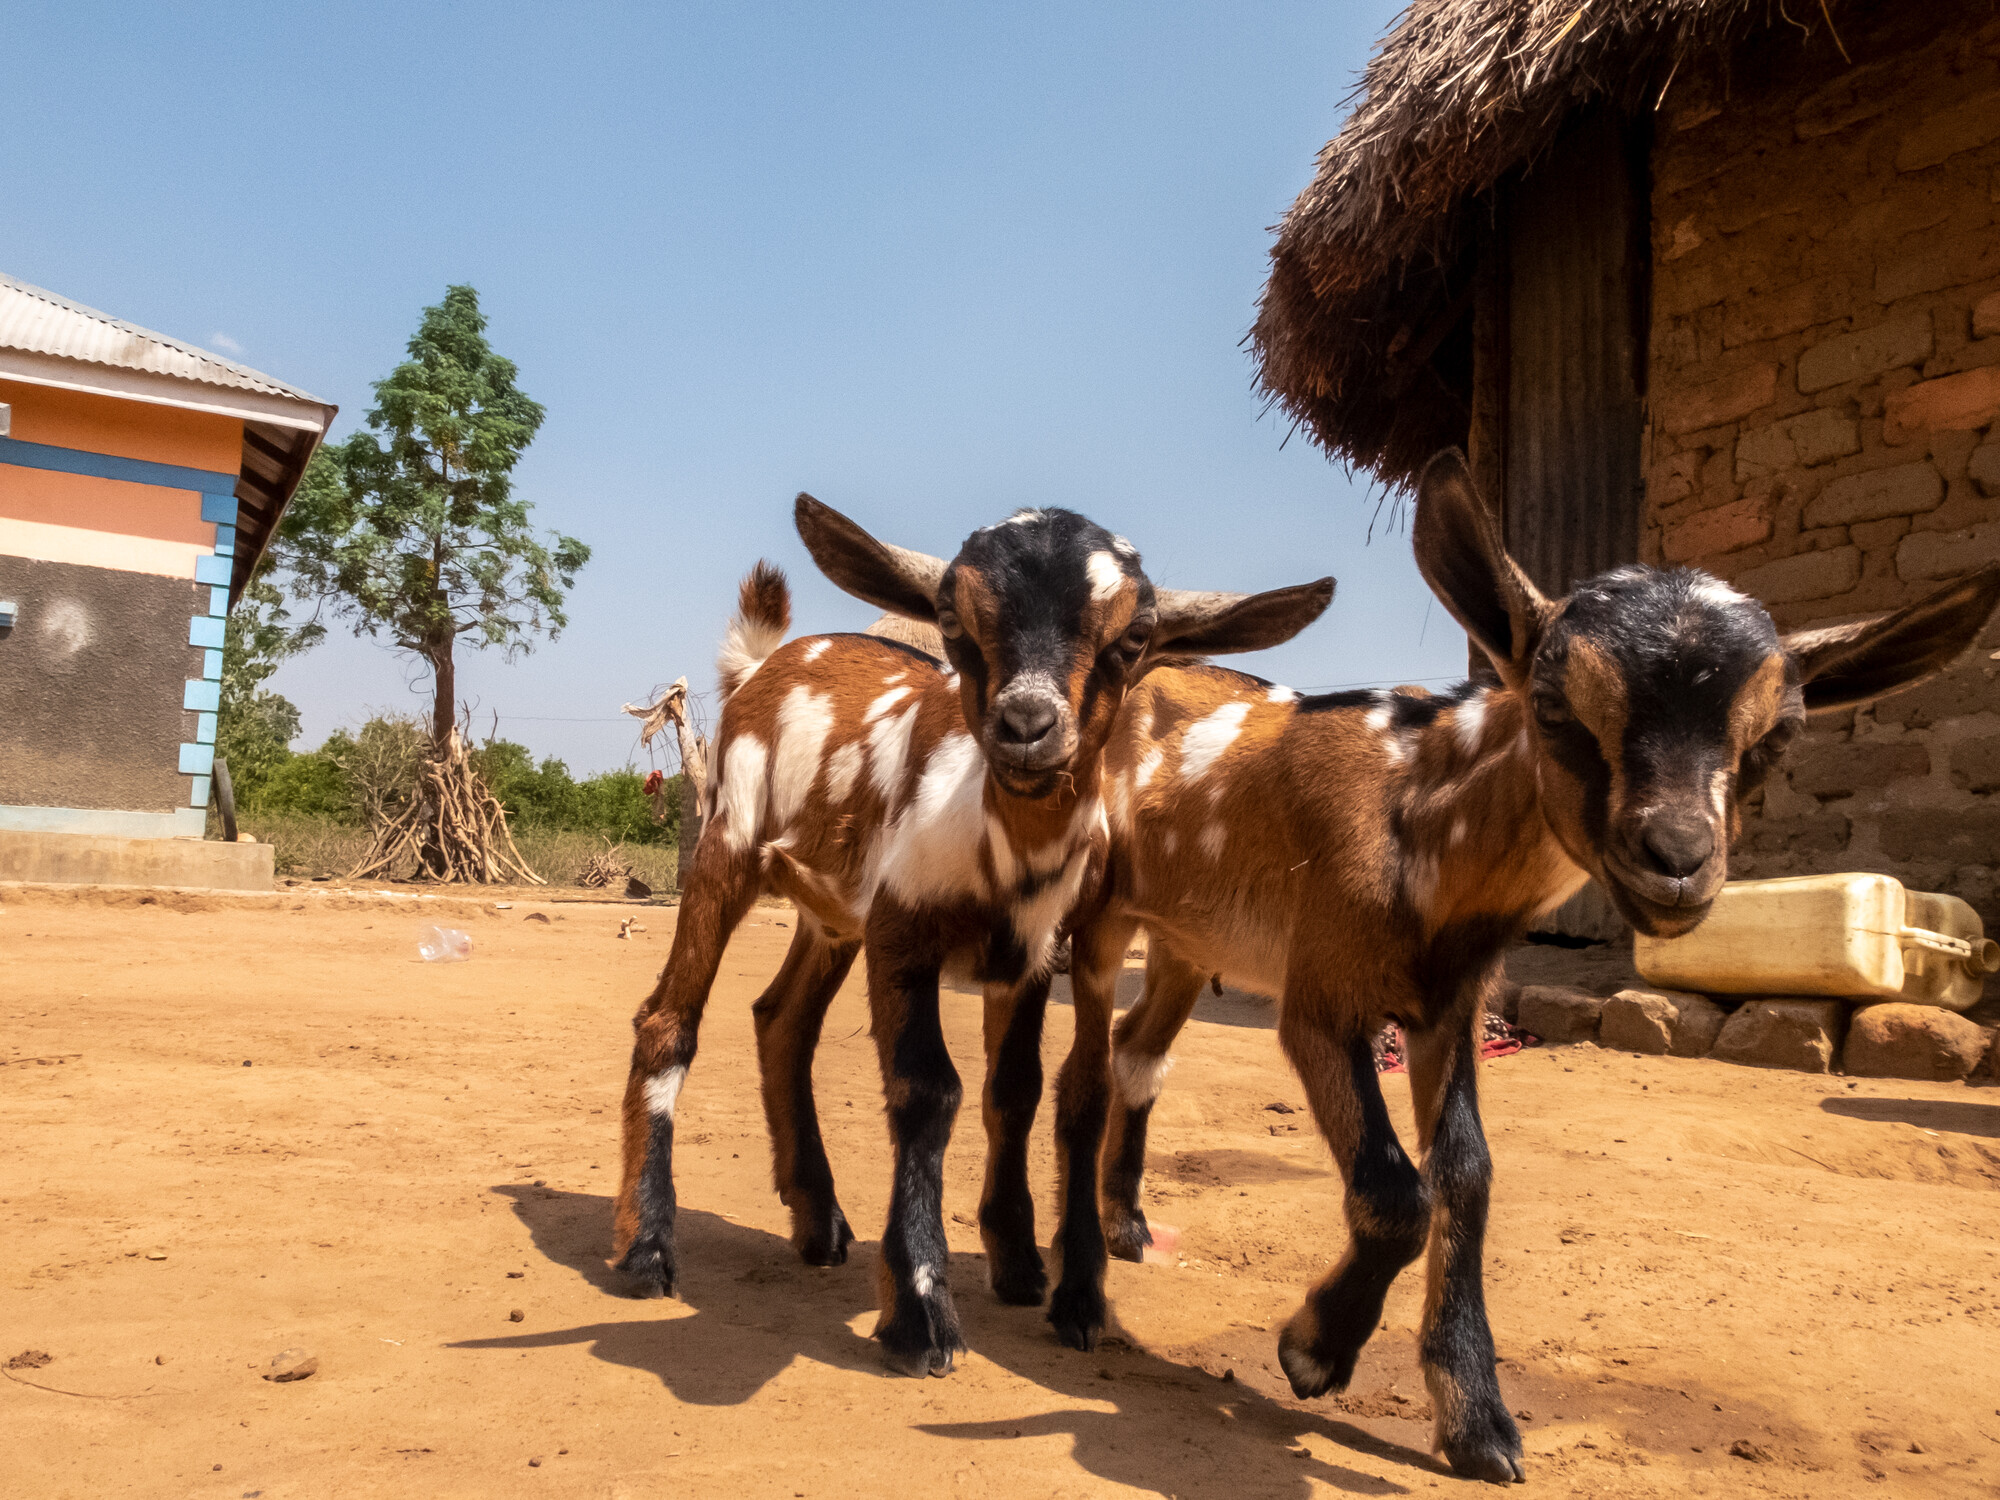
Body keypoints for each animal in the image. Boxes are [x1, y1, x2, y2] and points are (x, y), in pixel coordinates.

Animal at [608, 494, 1328, 1376]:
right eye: (953, 620)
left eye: (1133, 638)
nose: (1026, 724)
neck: (998, 845)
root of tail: (766, 665)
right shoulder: (904, 939)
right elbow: (929, 1089)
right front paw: (920, 1312)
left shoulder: (1028, 959)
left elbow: (1014, 1089)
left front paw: (1018, 1263)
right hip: (726, 846)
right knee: (669, 1020)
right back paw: (646, 1249)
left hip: (833, 914)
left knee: (782, 1020)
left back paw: (818, 1222)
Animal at [1064, 452, 2000, 1488]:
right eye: (1554, 707)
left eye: (1780, 735)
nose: (1677, 859)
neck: (1418, 821)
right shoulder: (1321, 993)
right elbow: (1396, 1191)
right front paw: (1315, 1349)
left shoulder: (1449, 1004)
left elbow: (1467, 1173)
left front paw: (1476, 1417)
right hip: (1101, 916)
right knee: (1085, 1064)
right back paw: (1070, 1288)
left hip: (1189, 940)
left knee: (1138, 1051)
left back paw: (1126, 1226)